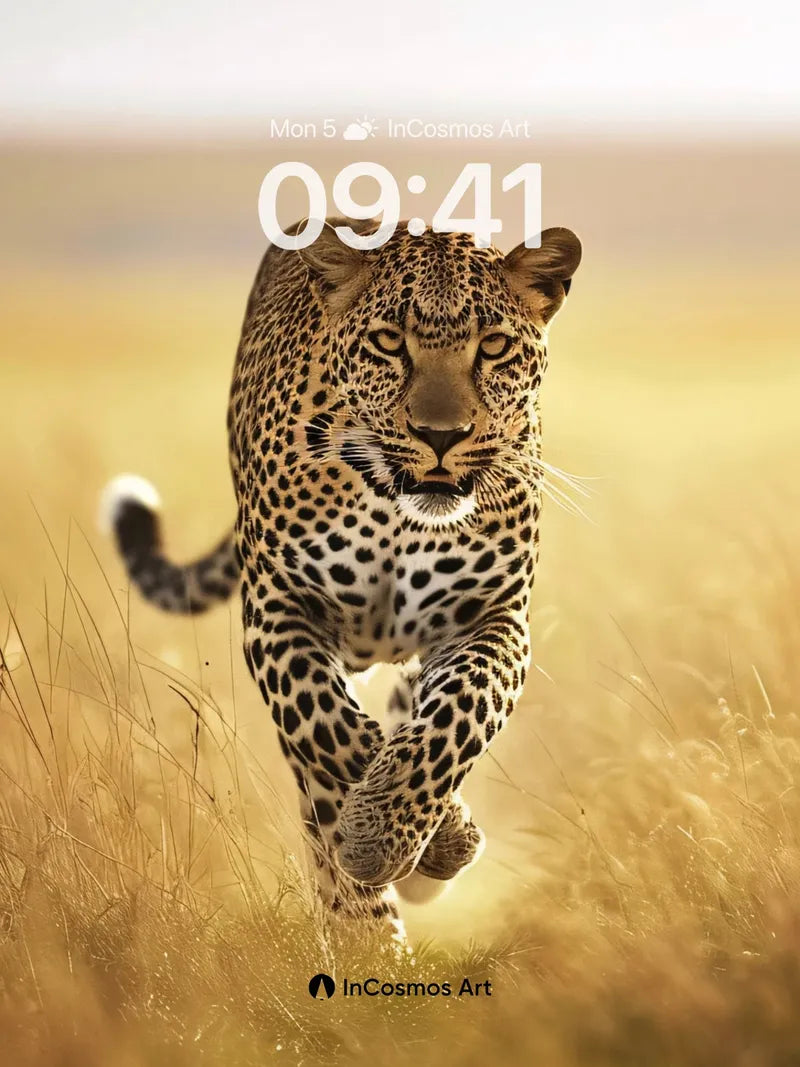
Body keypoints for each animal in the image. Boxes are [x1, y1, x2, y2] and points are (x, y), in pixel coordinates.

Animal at [101, 217, 581, 943]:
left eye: (494, 347)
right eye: (389, 343)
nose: (440, 435)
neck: (396, 510)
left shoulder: (491, 617)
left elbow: (454, 718)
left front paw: (404, 835)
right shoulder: (281, 609)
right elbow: (332, 733)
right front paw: (405, 846)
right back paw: (367, 928)